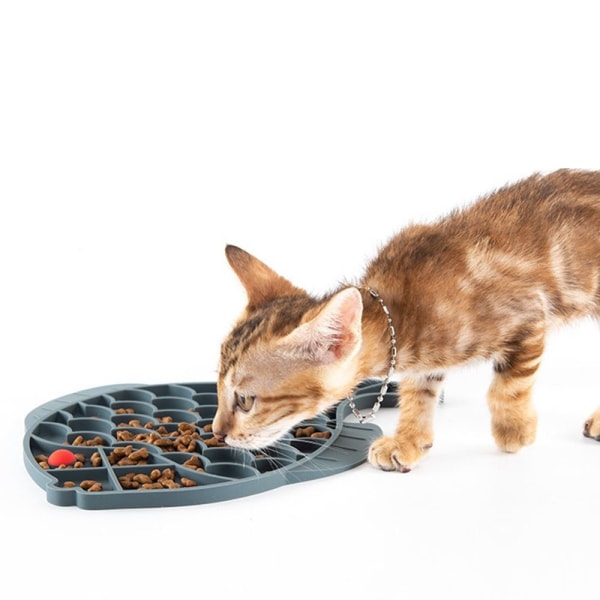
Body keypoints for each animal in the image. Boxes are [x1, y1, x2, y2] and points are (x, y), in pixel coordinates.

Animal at [214, 170, 600, 474]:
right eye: (217, 390)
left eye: (245, 400)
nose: (217, 432)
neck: (399, 309)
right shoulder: (422, 359)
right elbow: (418, 392)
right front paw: (410, 440)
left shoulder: (529, 312)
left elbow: (509, 386)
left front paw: (514, 429)